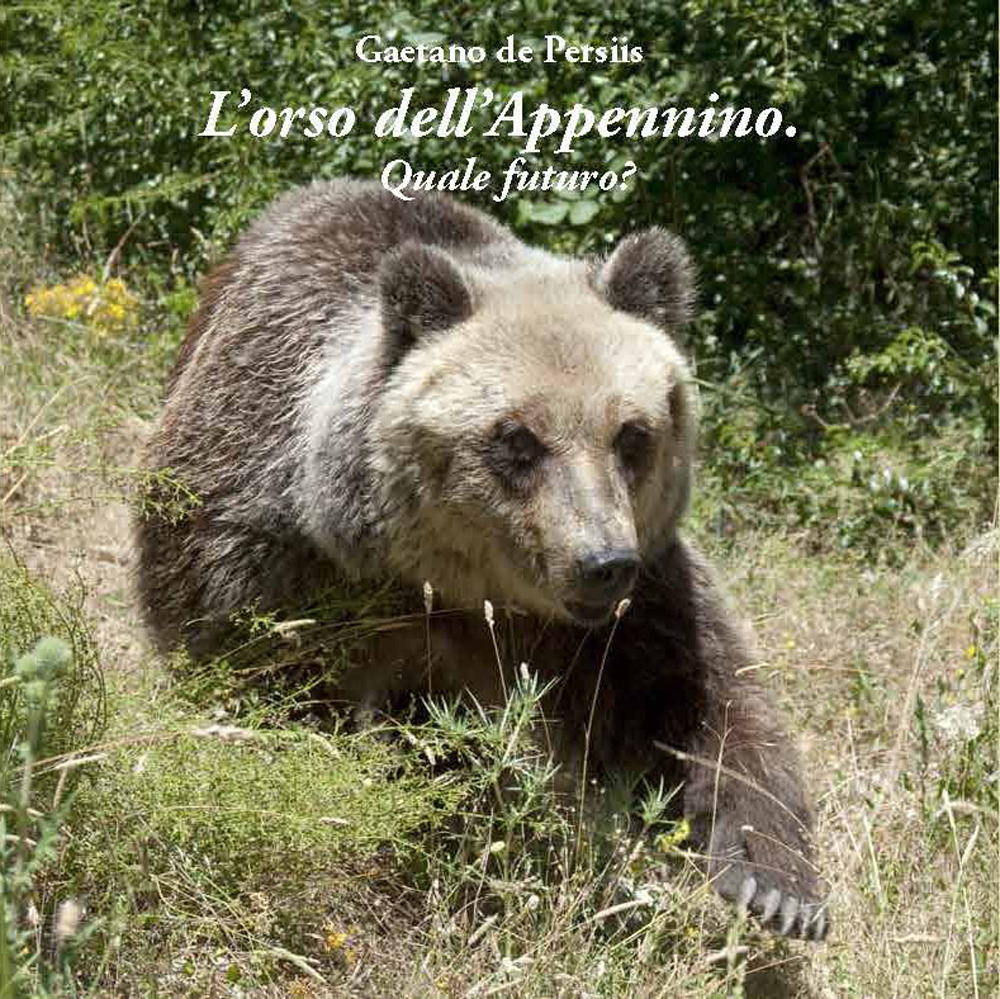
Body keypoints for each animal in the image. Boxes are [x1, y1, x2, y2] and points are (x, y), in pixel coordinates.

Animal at [135, 178, 829, 940]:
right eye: (518, 438)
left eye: (632, 434)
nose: (602, 562)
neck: (448, 581)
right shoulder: (276, 552)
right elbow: (265, 673)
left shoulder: (629, 605)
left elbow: (697, 701)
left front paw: (777, 886)